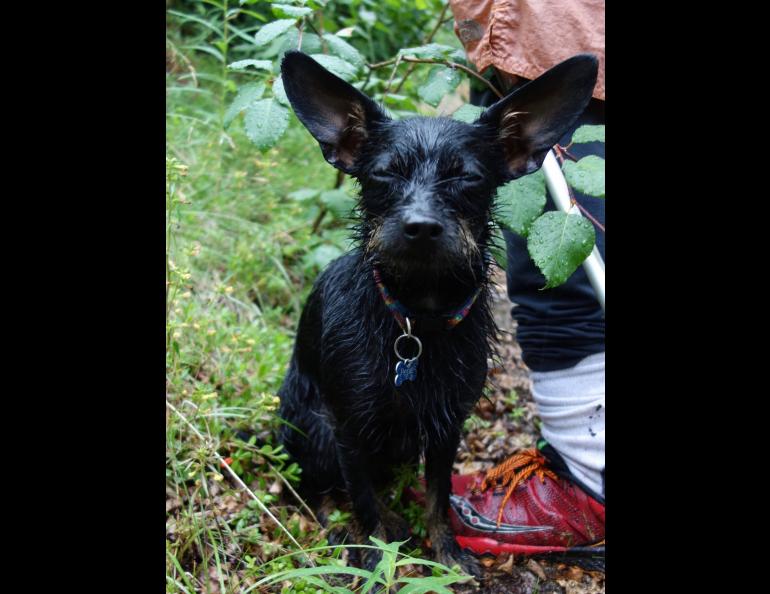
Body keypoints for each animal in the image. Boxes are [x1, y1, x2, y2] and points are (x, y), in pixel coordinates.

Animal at [274, 51, 592, 572]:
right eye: (385, 174)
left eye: (467, 177)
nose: (420, 226)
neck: (416, 319)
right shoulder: (347, 428)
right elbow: (361, 499)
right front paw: (375, 556)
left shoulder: (448, 426)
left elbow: (438, 498)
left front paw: (446, 553)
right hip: (312, 426)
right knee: (317, 489)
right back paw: (344, 525)